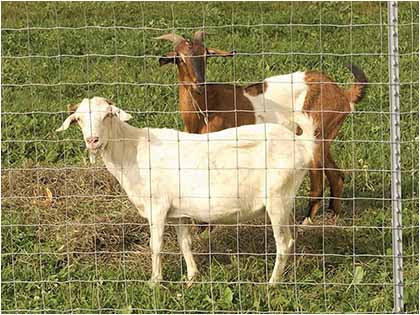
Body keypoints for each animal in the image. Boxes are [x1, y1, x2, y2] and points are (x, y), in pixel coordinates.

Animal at [57, 97, 316, 286]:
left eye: (108, 115)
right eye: (79, 119)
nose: (93, 140)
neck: (132, 149)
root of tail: (303, 144)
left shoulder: (157, 207)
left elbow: (155, 245)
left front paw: (155, 282)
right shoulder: (178, 212)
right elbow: (184, 243)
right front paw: (191, 277)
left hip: (277, 199)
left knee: (284, 242)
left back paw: (272, 284)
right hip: (285, 201)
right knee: (290, 238)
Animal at [158, 31, 368, 222]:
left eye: (205, 55)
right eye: (180, 58)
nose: (198, 84)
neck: (207, 107)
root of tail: (342, 94)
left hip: (316, 134)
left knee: (318, 180)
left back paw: (306, 221)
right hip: (325, 136)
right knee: (337, 176)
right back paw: (334, 216)